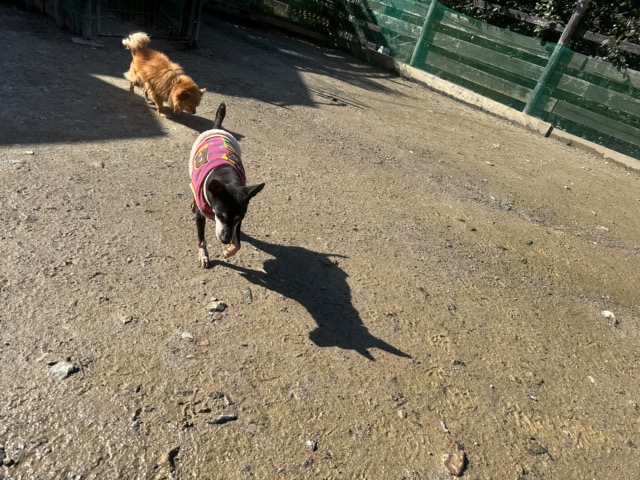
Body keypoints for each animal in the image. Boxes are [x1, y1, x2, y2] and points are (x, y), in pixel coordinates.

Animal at [190, 103, 265, 268]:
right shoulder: (200, 216)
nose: (225, 240)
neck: (227, 175)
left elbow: (238, 243)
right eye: (220, 215)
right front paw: (203, 255)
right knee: (192, 187)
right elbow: (201, 239)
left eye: (238, 219)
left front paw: (229, 251)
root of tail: (217, 128)